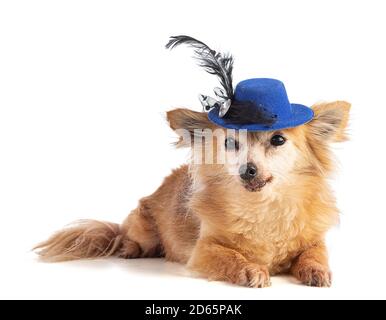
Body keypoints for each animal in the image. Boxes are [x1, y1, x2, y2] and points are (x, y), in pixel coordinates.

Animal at [34, 100, 352, 288]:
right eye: (230, 143)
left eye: (278, 140)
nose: (247, 170)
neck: (263, 206)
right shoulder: (204, 250)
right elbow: (230, 257)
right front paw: (252, 269)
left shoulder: (314, 241)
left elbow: (314, 254)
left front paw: (315, 270)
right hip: (143, 228)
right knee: (129, 237)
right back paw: (129, 248)